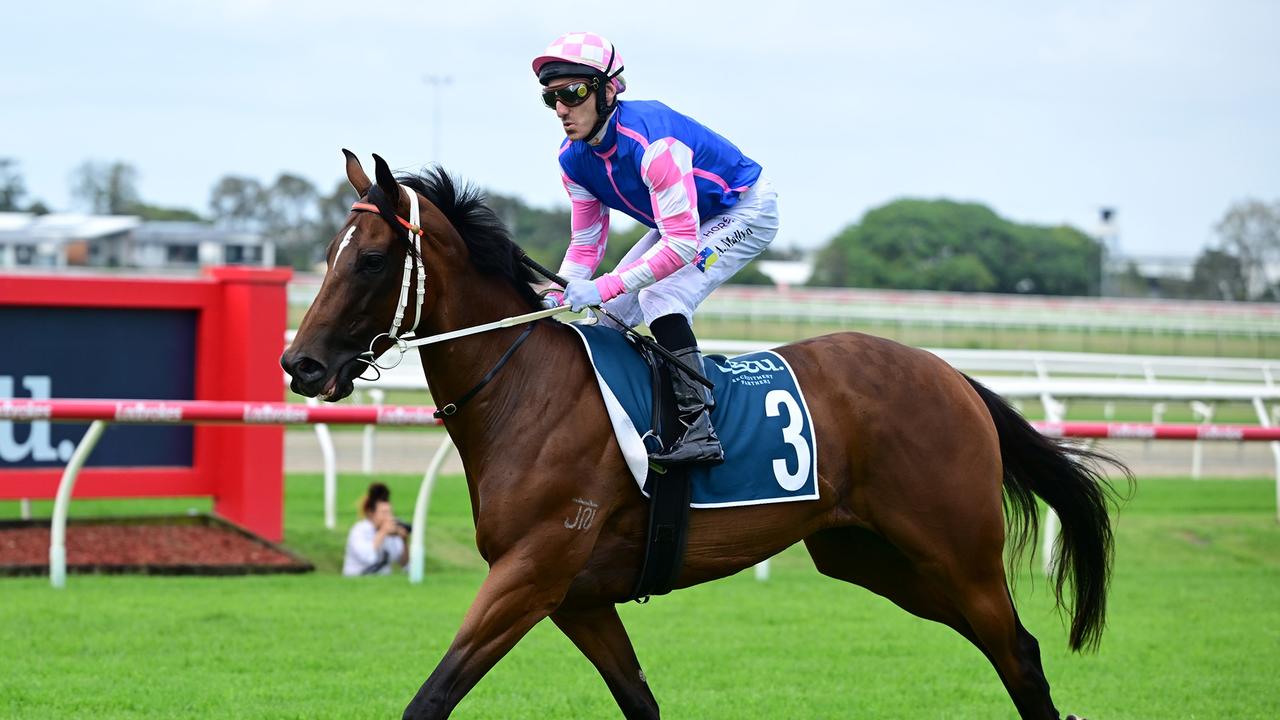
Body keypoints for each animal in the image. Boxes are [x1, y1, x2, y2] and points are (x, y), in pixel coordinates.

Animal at [280, 148, 1121, 712]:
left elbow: (432, 696)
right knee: (1003, 646)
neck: (526, 390)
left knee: (1018, 653)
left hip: (956, 551)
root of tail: (952, 376)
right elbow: (640, 701)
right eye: (325, 254)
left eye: (372, 259)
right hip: (872, 557)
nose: (301, 363)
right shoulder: (576, 596)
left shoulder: (532, 572)